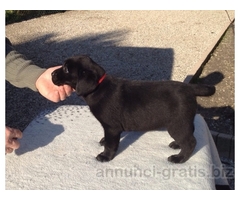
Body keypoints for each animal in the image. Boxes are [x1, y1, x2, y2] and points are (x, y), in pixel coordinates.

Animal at [51, 54, 216, 162]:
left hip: (177, 124)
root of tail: (189, 88)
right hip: (182, 121)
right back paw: (177, 144)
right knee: (189, 133)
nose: (52, 73)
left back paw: (179, 158)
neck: (98, 86)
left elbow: (111, 144)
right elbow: (108, 139)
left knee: (190, 142)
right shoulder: (109, 128)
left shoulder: (112, 127)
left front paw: (105, 156)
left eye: (66, 69)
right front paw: (104, 141)